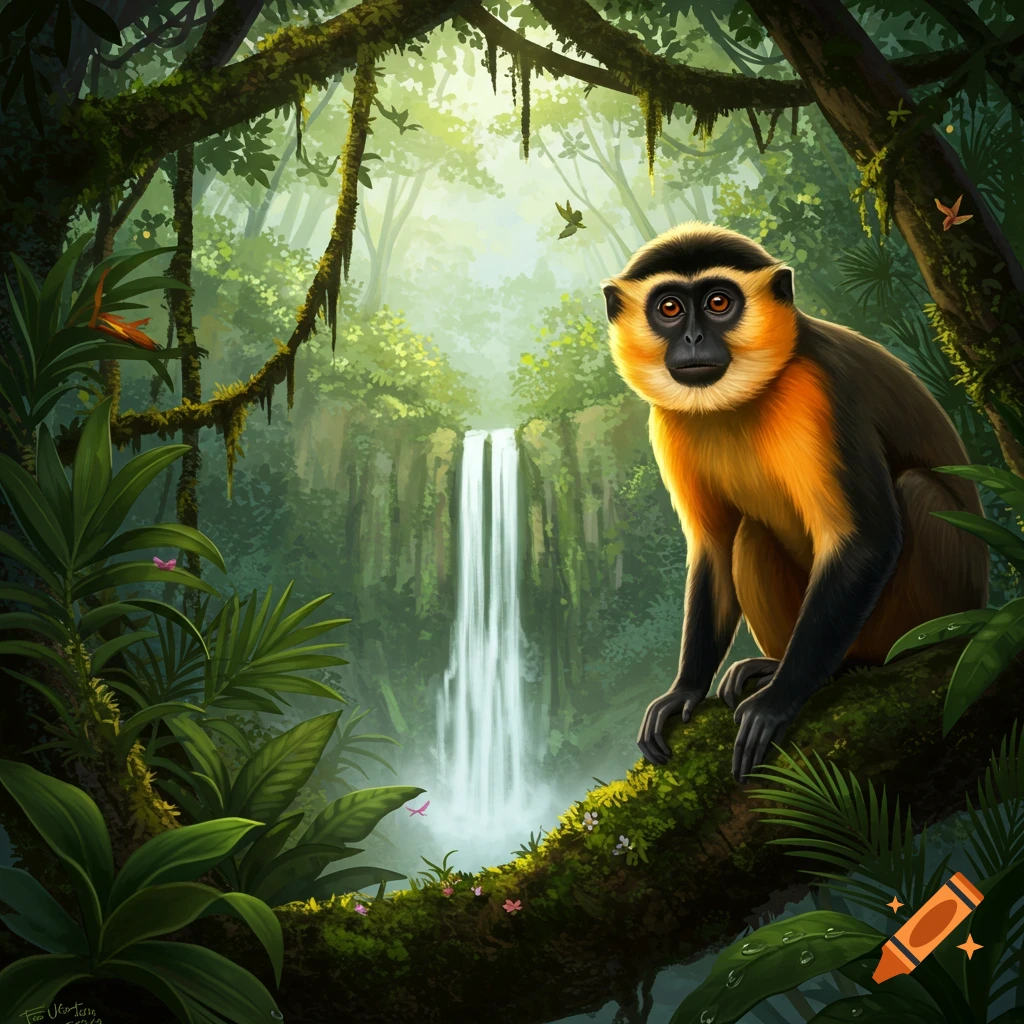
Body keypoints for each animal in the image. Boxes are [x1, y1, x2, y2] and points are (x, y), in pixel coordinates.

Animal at [601, 222, 989, 782]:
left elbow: (865, 540)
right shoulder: (668, 422)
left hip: (938, 604)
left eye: (718, 302)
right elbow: (713, 549)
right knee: (749, 533)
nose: (694, 338)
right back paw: (769, 664)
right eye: (669, 308)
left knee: (916, 491)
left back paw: (852, 665)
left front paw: (778, 700)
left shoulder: (820, 388)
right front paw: (684, 690)